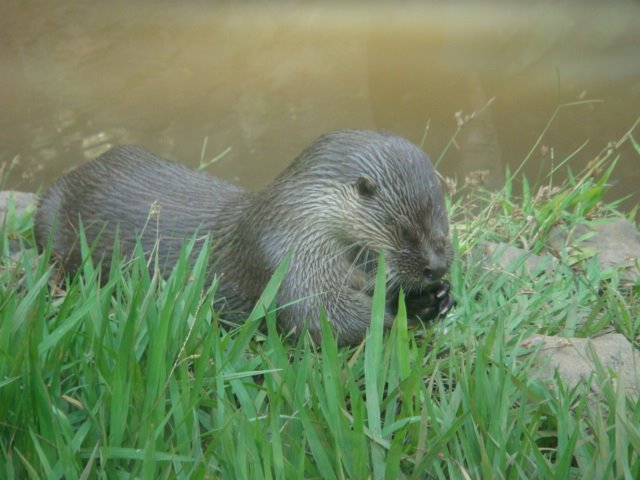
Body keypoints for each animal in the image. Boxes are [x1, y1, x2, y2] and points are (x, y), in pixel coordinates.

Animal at [36, 129, 456, 344]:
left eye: (443, 223)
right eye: (405, 233)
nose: (436, 267)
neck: (304, 224)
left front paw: (436, 298)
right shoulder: (285, 259)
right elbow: (328, 320)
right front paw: (408, 310)